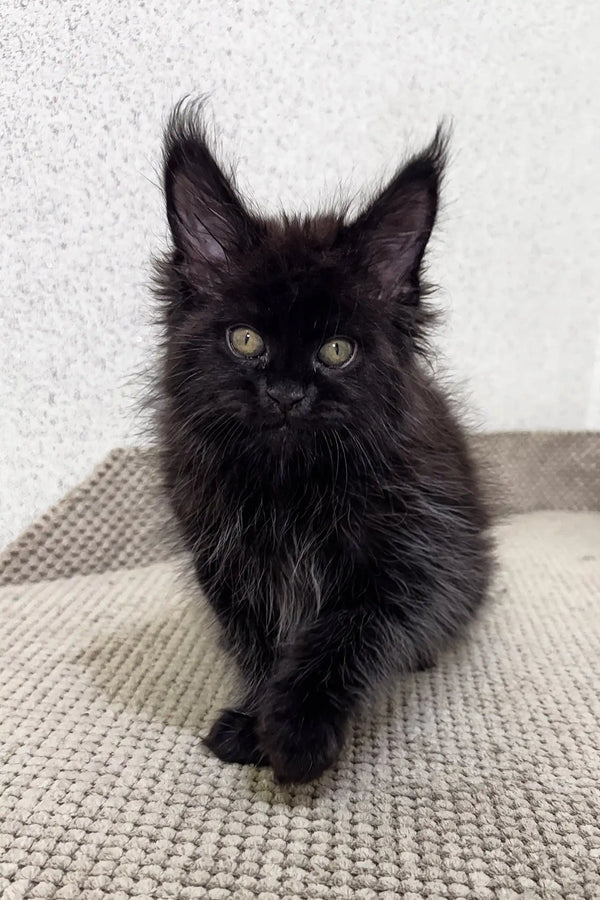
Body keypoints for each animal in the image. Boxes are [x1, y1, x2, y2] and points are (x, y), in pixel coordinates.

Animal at [154, 102, 492, 784]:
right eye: (246, 340)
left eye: (337, 350)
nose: (287, 395)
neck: (289, 485)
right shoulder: (225, 566)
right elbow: (260, 644)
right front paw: (253, 720)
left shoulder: (411, 557)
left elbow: (344, 634)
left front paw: (296, 731)